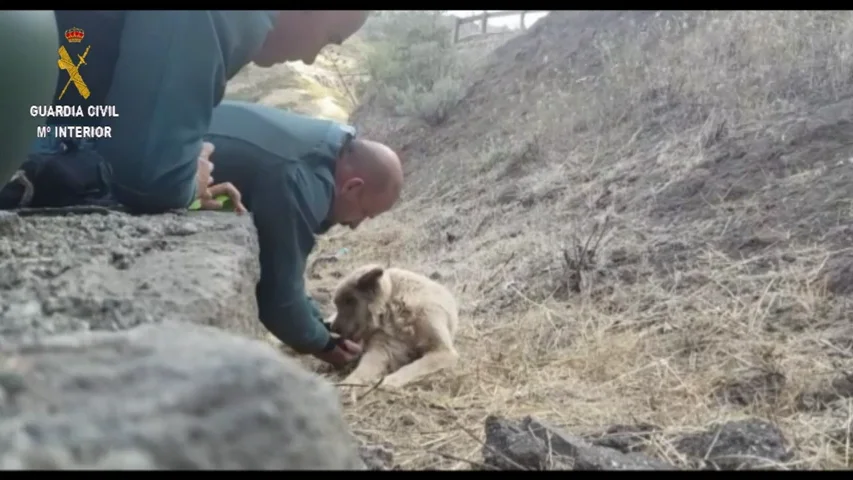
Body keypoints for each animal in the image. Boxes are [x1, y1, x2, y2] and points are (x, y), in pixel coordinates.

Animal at [326, 262, 460, 394]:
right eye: (337, 304)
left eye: (350, 301)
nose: (332, 329)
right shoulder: (383, 348)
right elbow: (364, 368)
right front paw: (348, 383)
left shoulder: (442, 351)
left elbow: (412, 367)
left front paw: (387, 382)